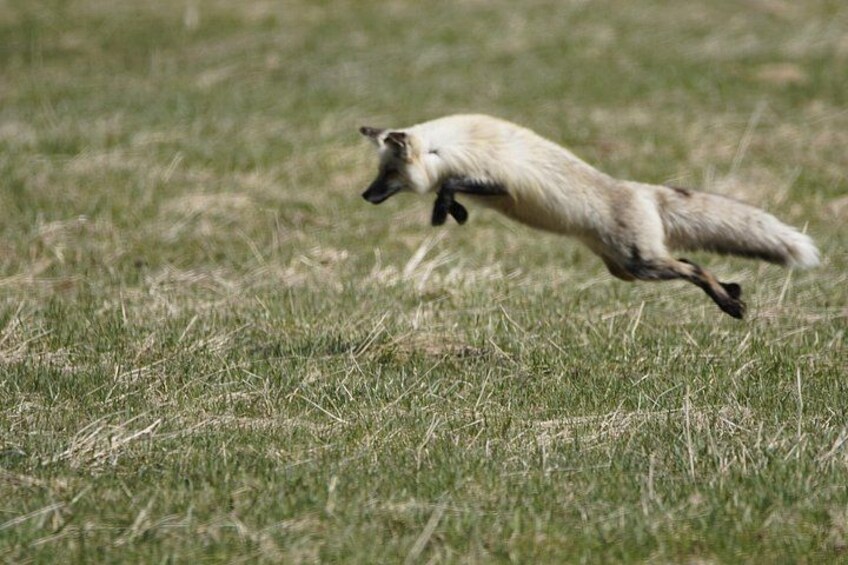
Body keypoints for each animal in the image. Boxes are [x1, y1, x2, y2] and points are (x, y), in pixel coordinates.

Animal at [359, 114, 819, 318]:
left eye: (388, 173)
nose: (365, 195)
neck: (448, 146)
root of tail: (642, 190)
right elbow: (450, 190)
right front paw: (452, 212)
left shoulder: (499, 183)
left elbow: (451, 185)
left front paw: (444, 210)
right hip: (627, 268)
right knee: (688, 261)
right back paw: (732, 290)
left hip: (640, 262)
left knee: (695, 268)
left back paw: (730, 302)